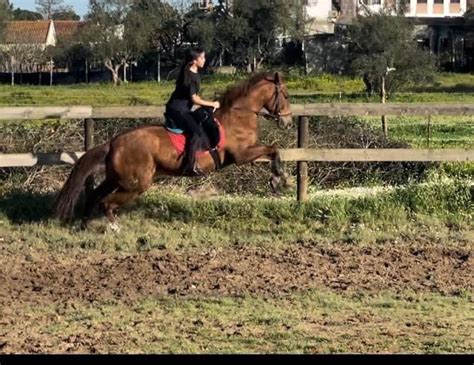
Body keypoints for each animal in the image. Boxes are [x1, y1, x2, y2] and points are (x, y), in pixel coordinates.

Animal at [54, 72, 292, 230]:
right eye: (286, 95)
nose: (288, 123)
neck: (239, 115)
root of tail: (113, 142)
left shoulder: (246, 153)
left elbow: (272, 151)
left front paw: (279, 179)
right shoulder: (241, 155)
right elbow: (274, 149)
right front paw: (279, 179)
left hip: (117, 179)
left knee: (94, 195)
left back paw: (84, 226)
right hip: (136, 184)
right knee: (106, 202)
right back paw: (114, 229)